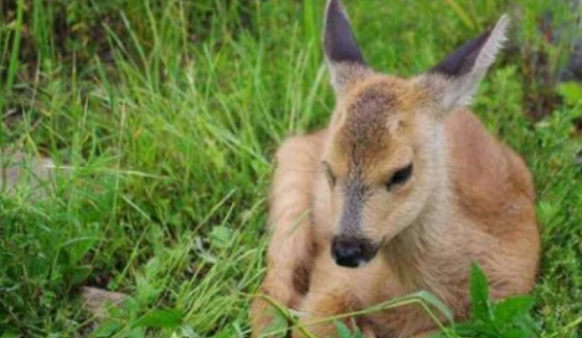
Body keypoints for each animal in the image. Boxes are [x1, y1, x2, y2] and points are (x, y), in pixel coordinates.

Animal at [251, 1, 544, 336]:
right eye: (329, 169)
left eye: (401, 172)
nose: (347, 251)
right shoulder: (327, 281)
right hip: (290, 184)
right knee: (269, 291)